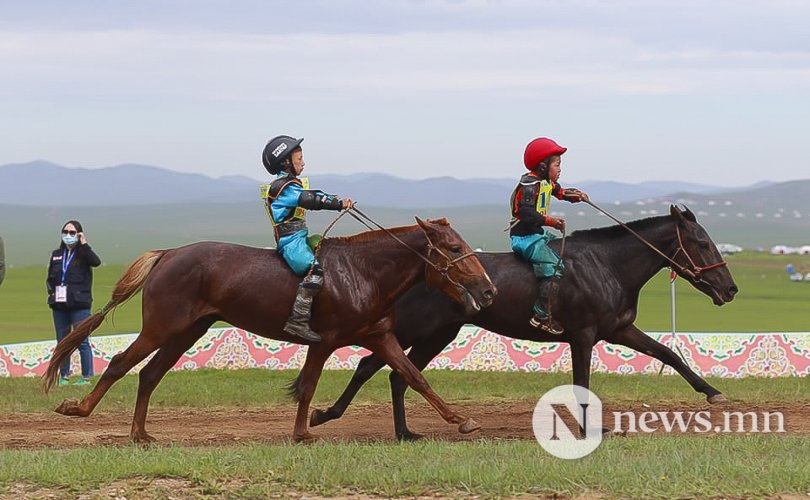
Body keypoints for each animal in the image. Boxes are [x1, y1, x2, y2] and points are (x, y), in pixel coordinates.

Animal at [49, 218, 498, 442]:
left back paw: (141, 434)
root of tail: (169, 254)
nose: (489, 290)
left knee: (149, 374)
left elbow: (415, 377)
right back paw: (79, 409)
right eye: (454, 249)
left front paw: (462, 420)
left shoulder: (380, 336)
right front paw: (302, 431)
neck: (362, 273)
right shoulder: (325, 341)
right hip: (162, 328)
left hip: (187, 332)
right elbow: (309, 384)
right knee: (120, 363)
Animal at [306, 205, 736, 440]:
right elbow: (582, 383)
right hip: (417, 330)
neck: (608, 264)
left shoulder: (619, 329)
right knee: (370, 366)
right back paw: (326, 415)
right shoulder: (583, 336)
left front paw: (713, 392)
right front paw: (591, 428)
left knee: (399, 375)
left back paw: (404, 432)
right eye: (702, 243)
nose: (730, 289)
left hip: (439, 334)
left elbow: (668, 354)